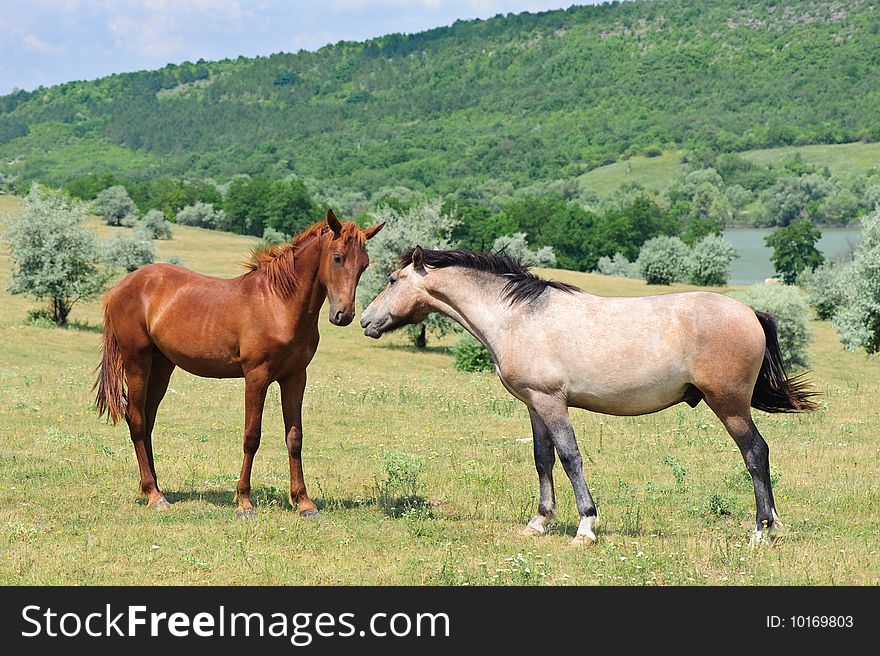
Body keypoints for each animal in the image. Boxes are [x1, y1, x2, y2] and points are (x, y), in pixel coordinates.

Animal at [94, 210, 384, 516]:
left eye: (364, 265)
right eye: (338, 257)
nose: (344, 315)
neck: (278, 303)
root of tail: (121, 287)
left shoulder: (295, 378)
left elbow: (295, 437)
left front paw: (304, 502)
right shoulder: (256, 376)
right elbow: (251, 436)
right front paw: (244, 501)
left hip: (162, 366)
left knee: (148, 420)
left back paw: (154, 486)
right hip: (137, 361)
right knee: (136, 419)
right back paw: (154, 495)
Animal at [360, 246, 816, 544]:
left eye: (392, 280)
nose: (364, 319)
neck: (518, 316)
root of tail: (751, 312)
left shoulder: (552, 402)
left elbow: (569, 457)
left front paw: (585, 526)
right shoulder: (535, 404)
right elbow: (542, 459)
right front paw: (539, 521)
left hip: (729, 405)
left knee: (755, 453)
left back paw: (760, 530)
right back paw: (774, 524)